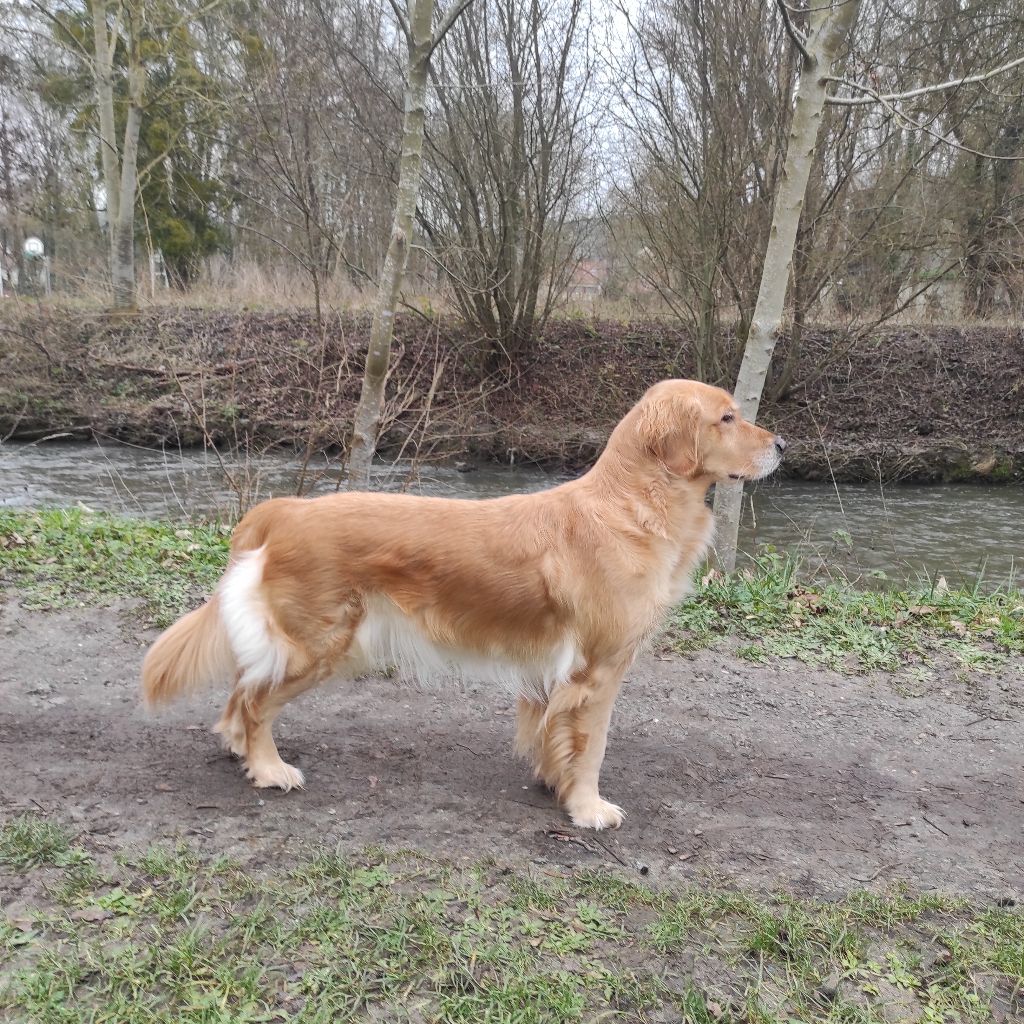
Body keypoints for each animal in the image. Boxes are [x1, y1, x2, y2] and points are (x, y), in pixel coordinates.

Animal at [142, 380, 782, 827]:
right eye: (727, 417)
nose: (784, 444)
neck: (631, 505)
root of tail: (285, 509)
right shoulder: (598, 670)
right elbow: (592, 746)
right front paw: (588, 807)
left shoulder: (555, 674)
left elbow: (552, 736)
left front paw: (555, 784)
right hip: (319, 644)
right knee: (255, 703)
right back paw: (270, 768)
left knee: (241, 691)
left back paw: (241, 752)